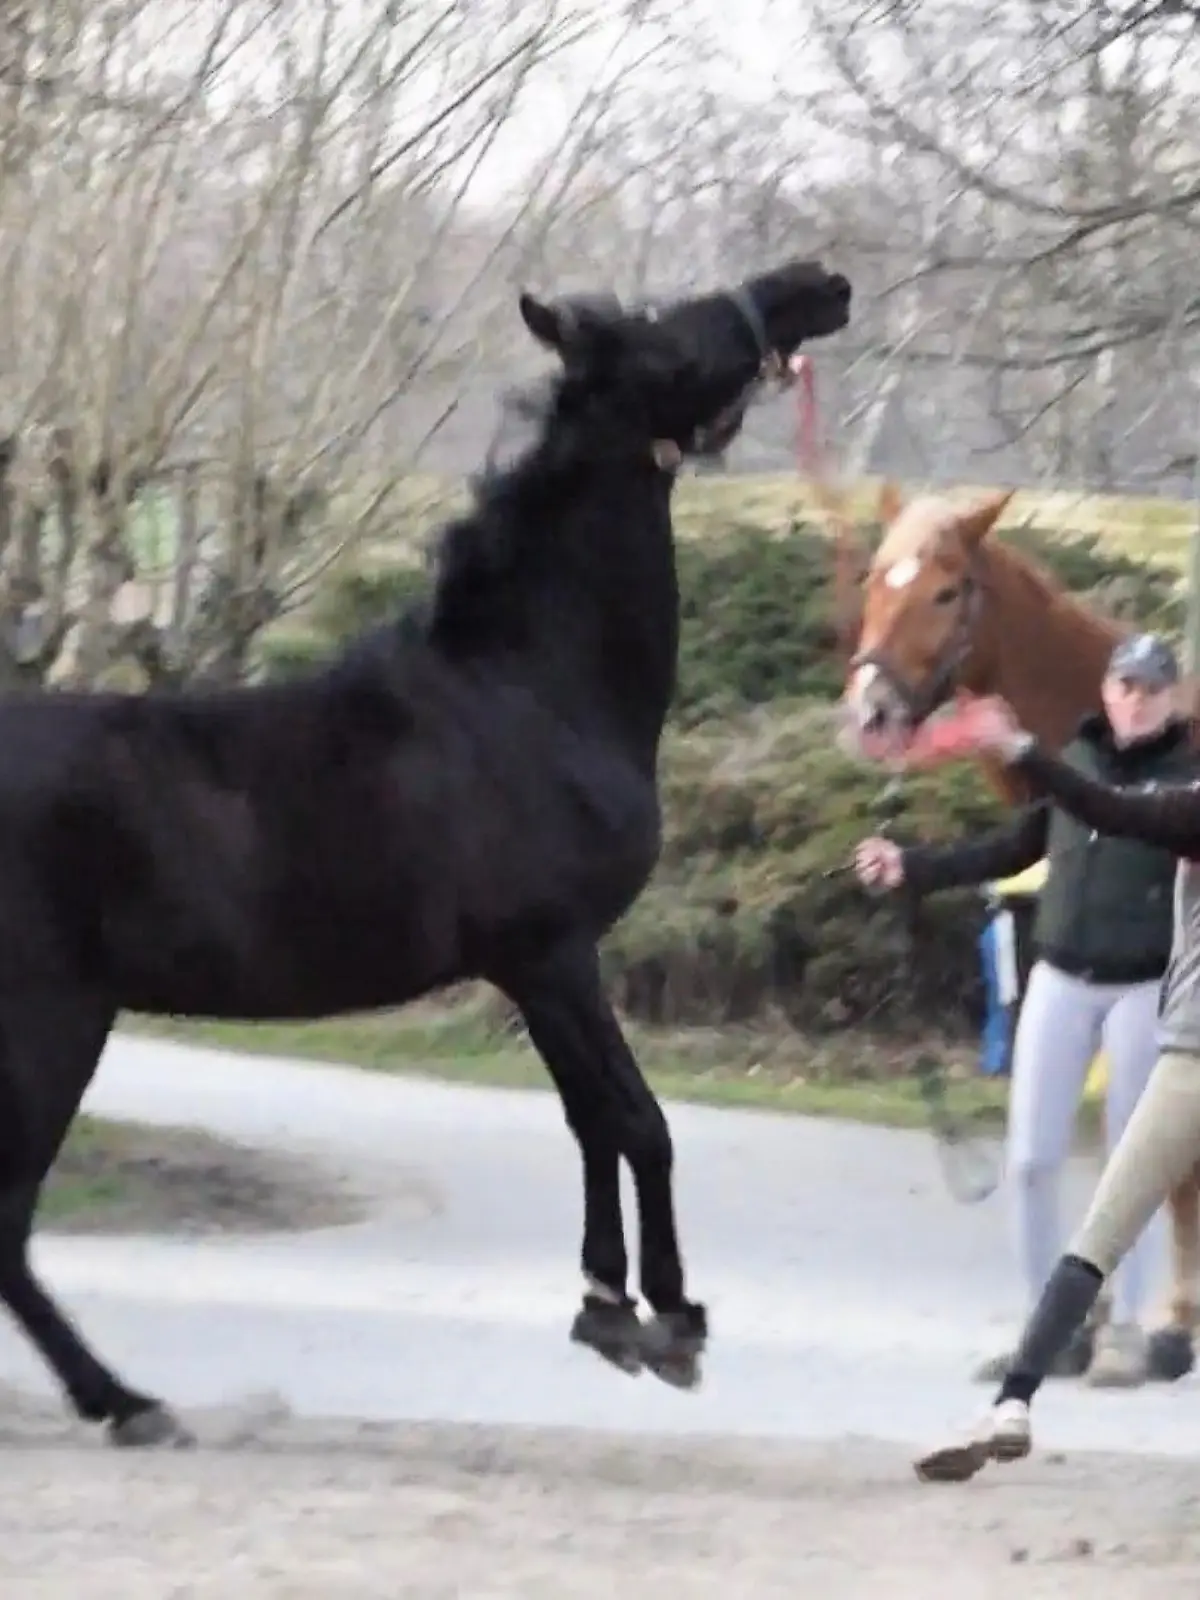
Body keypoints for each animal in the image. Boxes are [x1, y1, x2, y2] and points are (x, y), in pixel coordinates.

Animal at [0, 261, 852, 1448]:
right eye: (669, 341)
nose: (815, 287)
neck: (527, 686)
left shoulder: (537, 970)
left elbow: (593, 1122)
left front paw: (608, 1304)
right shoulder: (551, 955)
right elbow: (636, 1122)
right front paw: (671, 1318)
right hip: (51, 1022)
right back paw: (126, 1401)